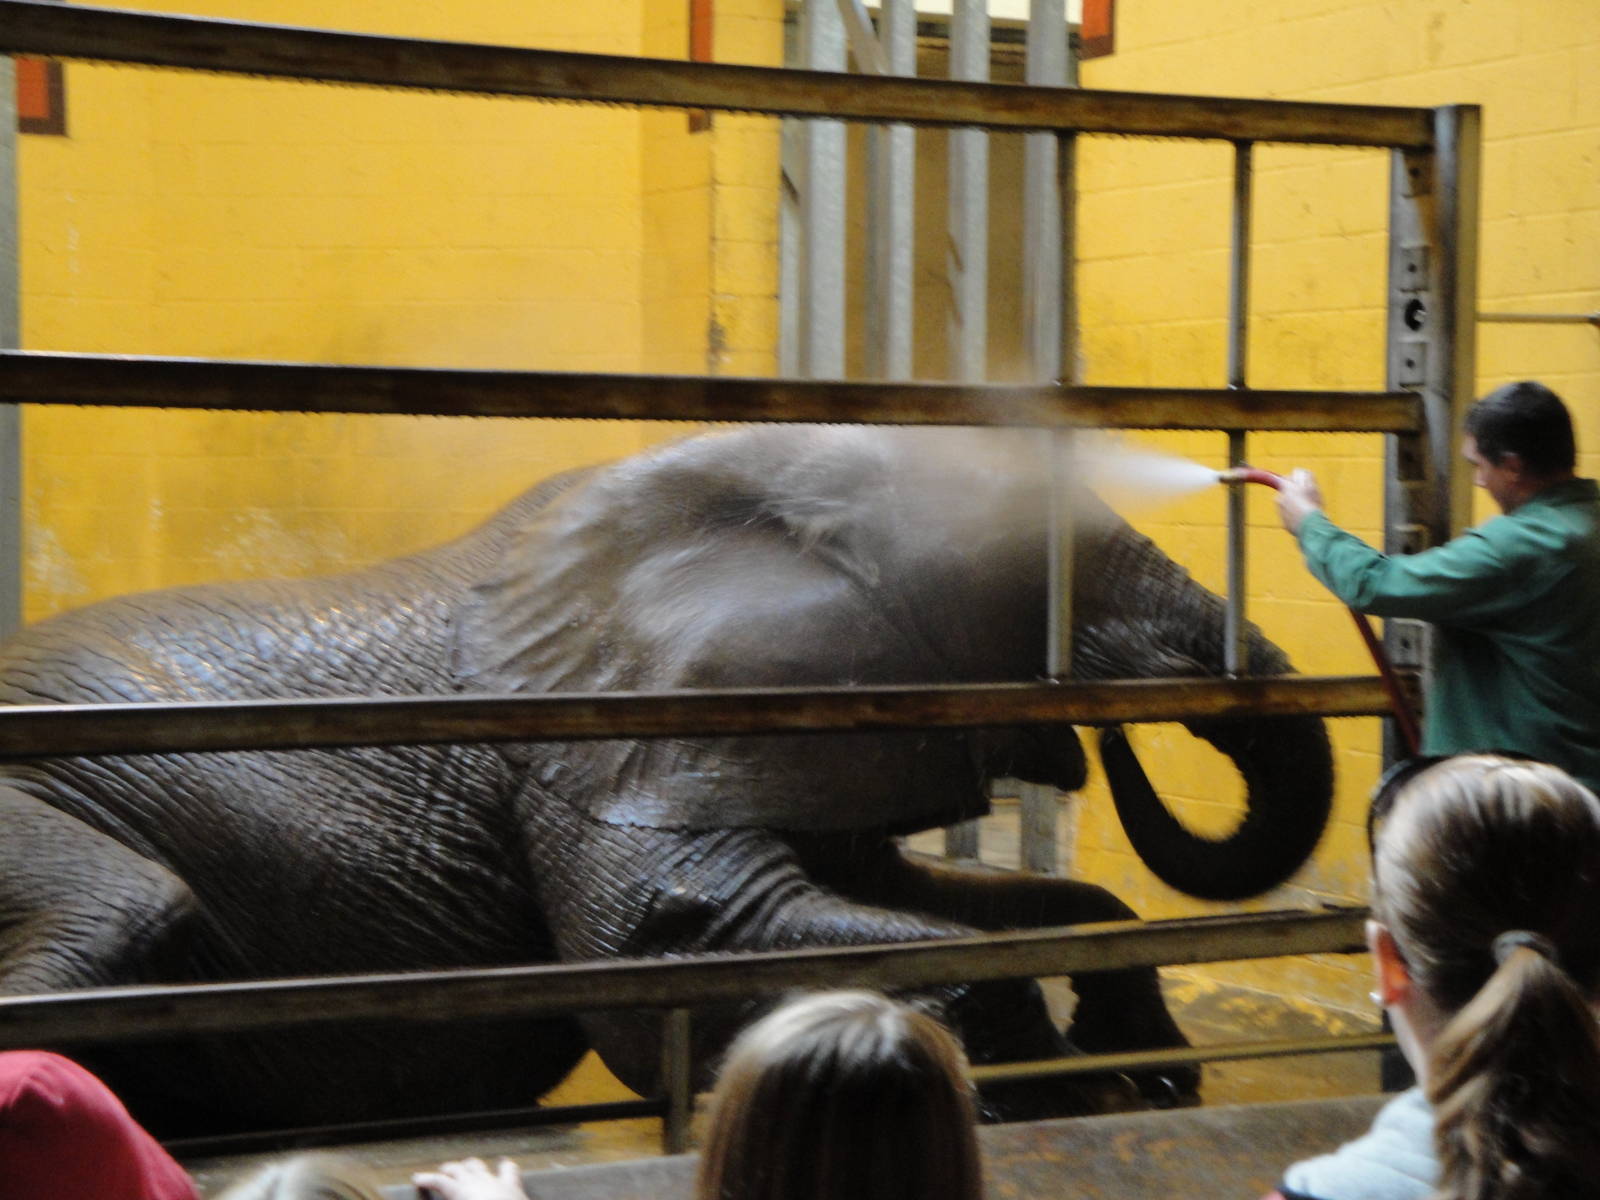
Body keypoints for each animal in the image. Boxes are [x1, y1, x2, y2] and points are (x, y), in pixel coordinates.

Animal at [0, 424, 1333, 1136]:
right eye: (1032, 570)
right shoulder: (594, 743)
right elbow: (667, 945)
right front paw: (1055, 1095)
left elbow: (959, 902)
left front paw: (1148, 1077)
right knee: (122, 914)